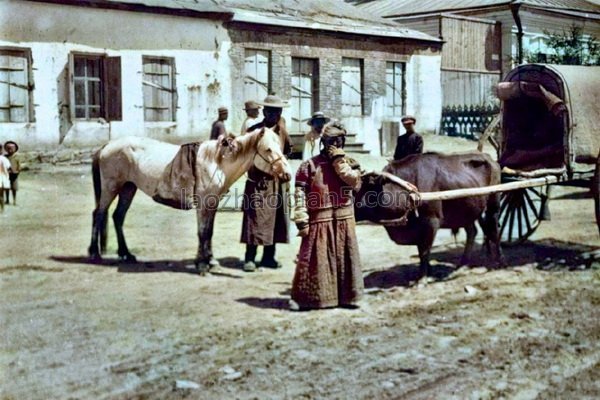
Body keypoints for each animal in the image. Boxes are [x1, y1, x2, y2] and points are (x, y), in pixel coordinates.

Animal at [88, 128, 292, 272]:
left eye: (280, 147)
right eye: (268, 149)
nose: (287, 174)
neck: (216, 162)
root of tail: (106, 146)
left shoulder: (212, 204)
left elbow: (209, 232)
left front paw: (211, 261)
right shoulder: (202, 204)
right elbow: (202, 232)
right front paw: (201, 264)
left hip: (128, 188)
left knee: (117, 216)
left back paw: (126, 254)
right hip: (111, 187)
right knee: (98, 214)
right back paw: (94, 253)